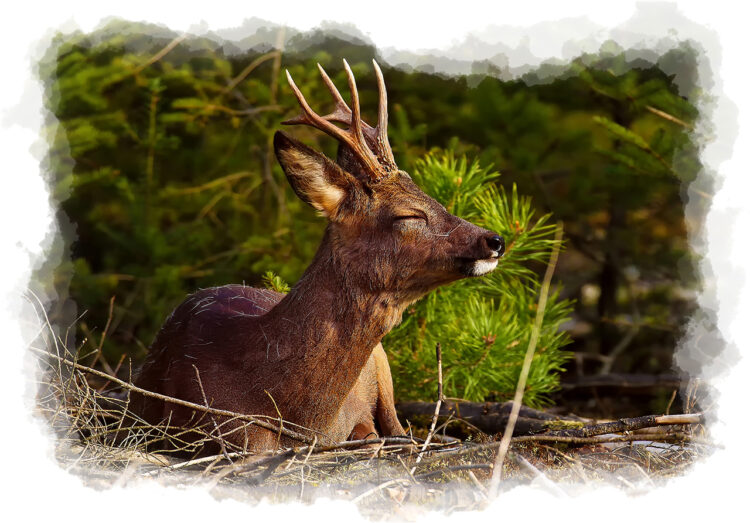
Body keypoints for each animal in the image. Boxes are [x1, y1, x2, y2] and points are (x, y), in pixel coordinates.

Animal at [131, 60, 506, 454]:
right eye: (409, 214)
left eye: (436, 199)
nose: (495, 240)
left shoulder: (357, 418)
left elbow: (373, 437)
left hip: (383, 365)